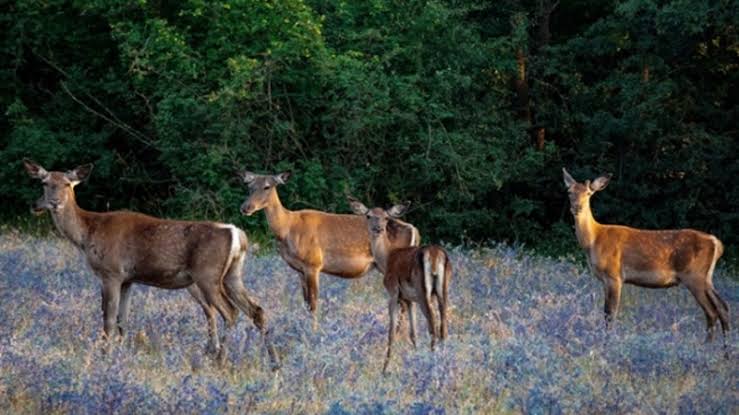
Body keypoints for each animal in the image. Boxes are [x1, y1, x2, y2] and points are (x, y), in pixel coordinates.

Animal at [24, 160, 280, 370]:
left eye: (68, 184)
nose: (53, 203)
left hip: (208, 274)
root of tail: (237, 234)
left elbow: (108, 319)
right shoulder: (128, 279)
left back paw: (221, 360)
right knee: (257, 310)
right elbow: (122, 319)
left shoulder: (111, 272)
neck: (87, 234)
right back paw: (274, 363)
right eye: (45, 183)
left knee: (230, 312)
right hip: (232, 275)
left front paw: (105, 355)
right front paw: (121, 353)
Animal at [240, 172, 420, 328]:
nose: (246, 207)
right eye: (249, 186)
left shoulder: (313, 264)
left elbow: (313, 303)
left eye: (267, 186)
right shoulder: (300, 270)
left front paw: (313, 331)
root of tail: (415, 230)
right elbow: (306, 303)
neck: (288, 228)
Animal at [350, 197, 454, 376]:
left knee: (432, 325)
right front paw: (415, 357)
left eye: (386, 217)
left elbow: (391, 332)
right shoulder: (408, 299)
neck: (387, 259)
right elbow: (413, 332)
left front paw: (384, 369)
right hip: (443, 290)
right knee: (443, 327)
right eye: (368, 216)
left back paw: (432, 363)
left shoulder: (393, 292)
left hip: (423, 291)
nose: (378, 228)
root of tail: (436, 255)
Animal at [564, 169, 732, 352]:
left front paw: (607, 344)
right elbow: (606, 313)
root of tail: (716, 243)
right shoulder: (606, 279)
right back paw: (724, 349)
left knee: (711, 311)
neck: (594, 240)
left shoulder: (614, 275)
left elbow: (610, 314)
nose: (576, 207)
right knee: (723, 307)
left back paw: (707, 347)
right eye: (569, 192)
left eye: (588, 193)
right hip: (706, 277)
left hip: (694, 276)